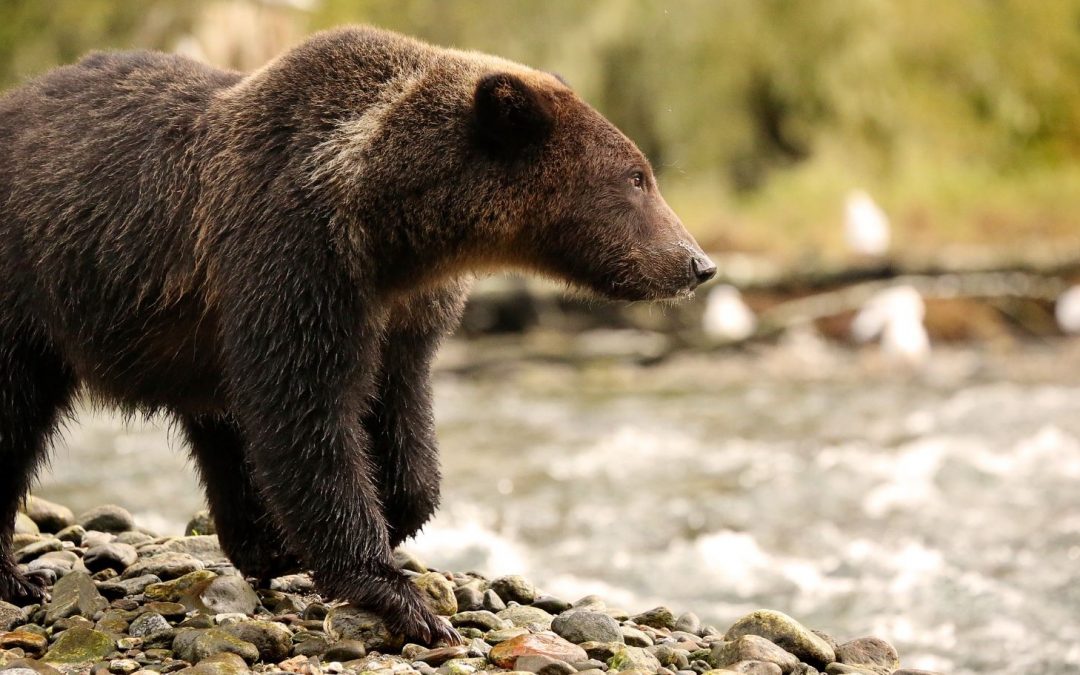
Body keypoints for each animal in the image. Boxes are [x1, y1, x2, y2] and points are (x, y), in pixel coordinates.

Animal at [0, 26, 715, 644]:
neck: (389, 221)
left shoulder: (403, 313)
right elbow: (306, 416)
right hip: (29, 291)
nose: (697, 263)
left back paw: (256, 544)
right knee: (16, 417)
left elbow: (398, 415)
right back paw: (21, 577)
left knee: (216, 428)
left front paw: (389, 514)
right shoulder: (296, 258)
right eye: (637, 177)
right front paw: (400, 596)